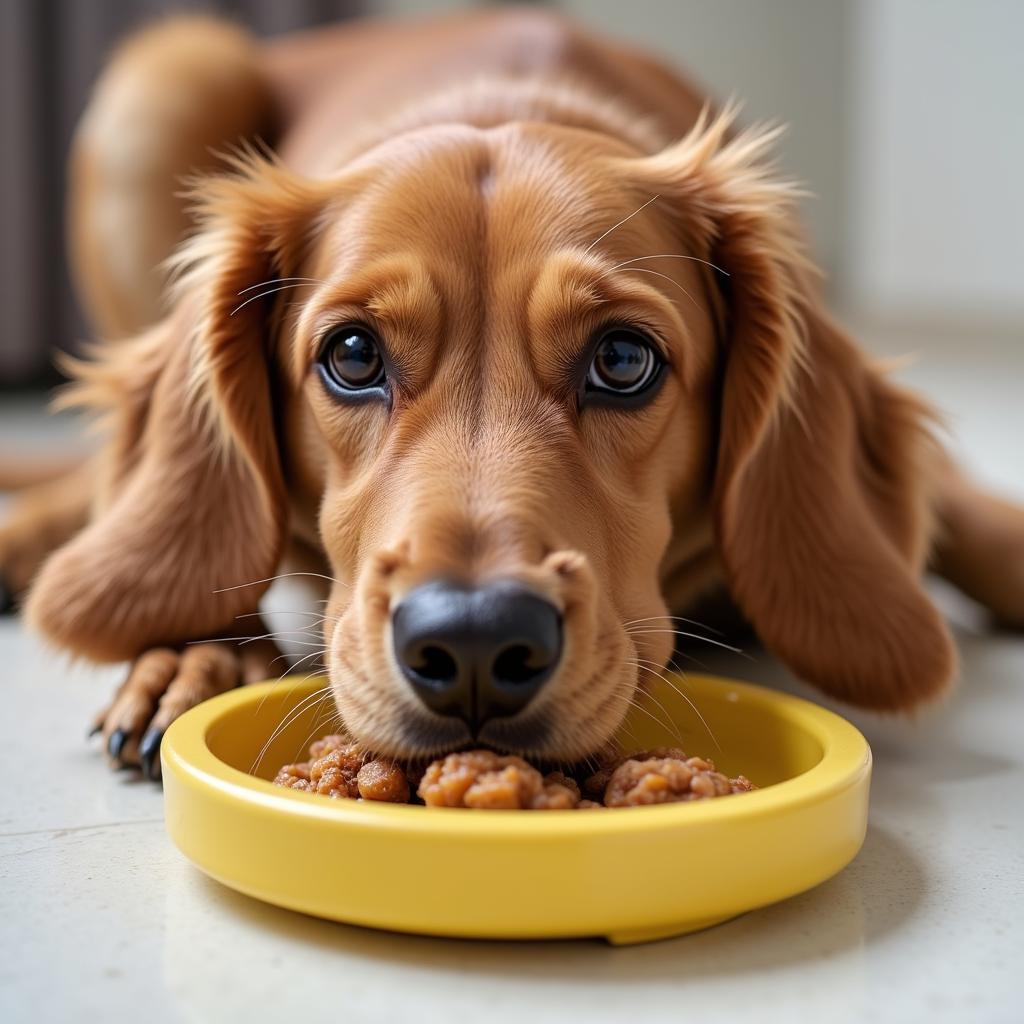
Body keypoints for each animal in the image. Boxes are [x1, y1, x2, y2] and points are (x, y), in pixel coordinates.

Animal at [2, 8, 1024, 778]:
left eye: (623, 359)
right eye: (353, 355)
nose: (475, 646)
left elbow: (975, 523)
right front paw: (195, 649)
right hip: (168, 75)